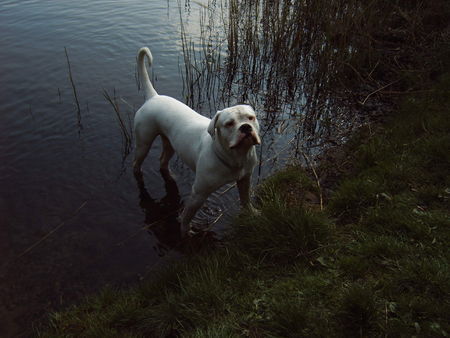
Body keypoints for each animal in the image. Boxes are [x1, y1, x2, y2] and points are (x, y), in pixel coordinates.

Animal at [134, 47, 260, 236]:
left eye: (251, 118)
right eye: (229, 124)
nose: (245, 127)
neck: (234, 157)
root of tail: (153, 97)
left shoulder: (245, 179)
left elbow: (245, 200)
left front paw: (251, 213)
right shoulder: (198, 194)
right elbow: (187, 215)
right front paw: (186, 231)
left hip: (170, 143)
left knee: (163, 160)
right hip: (143, 143)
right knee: (137, 163)